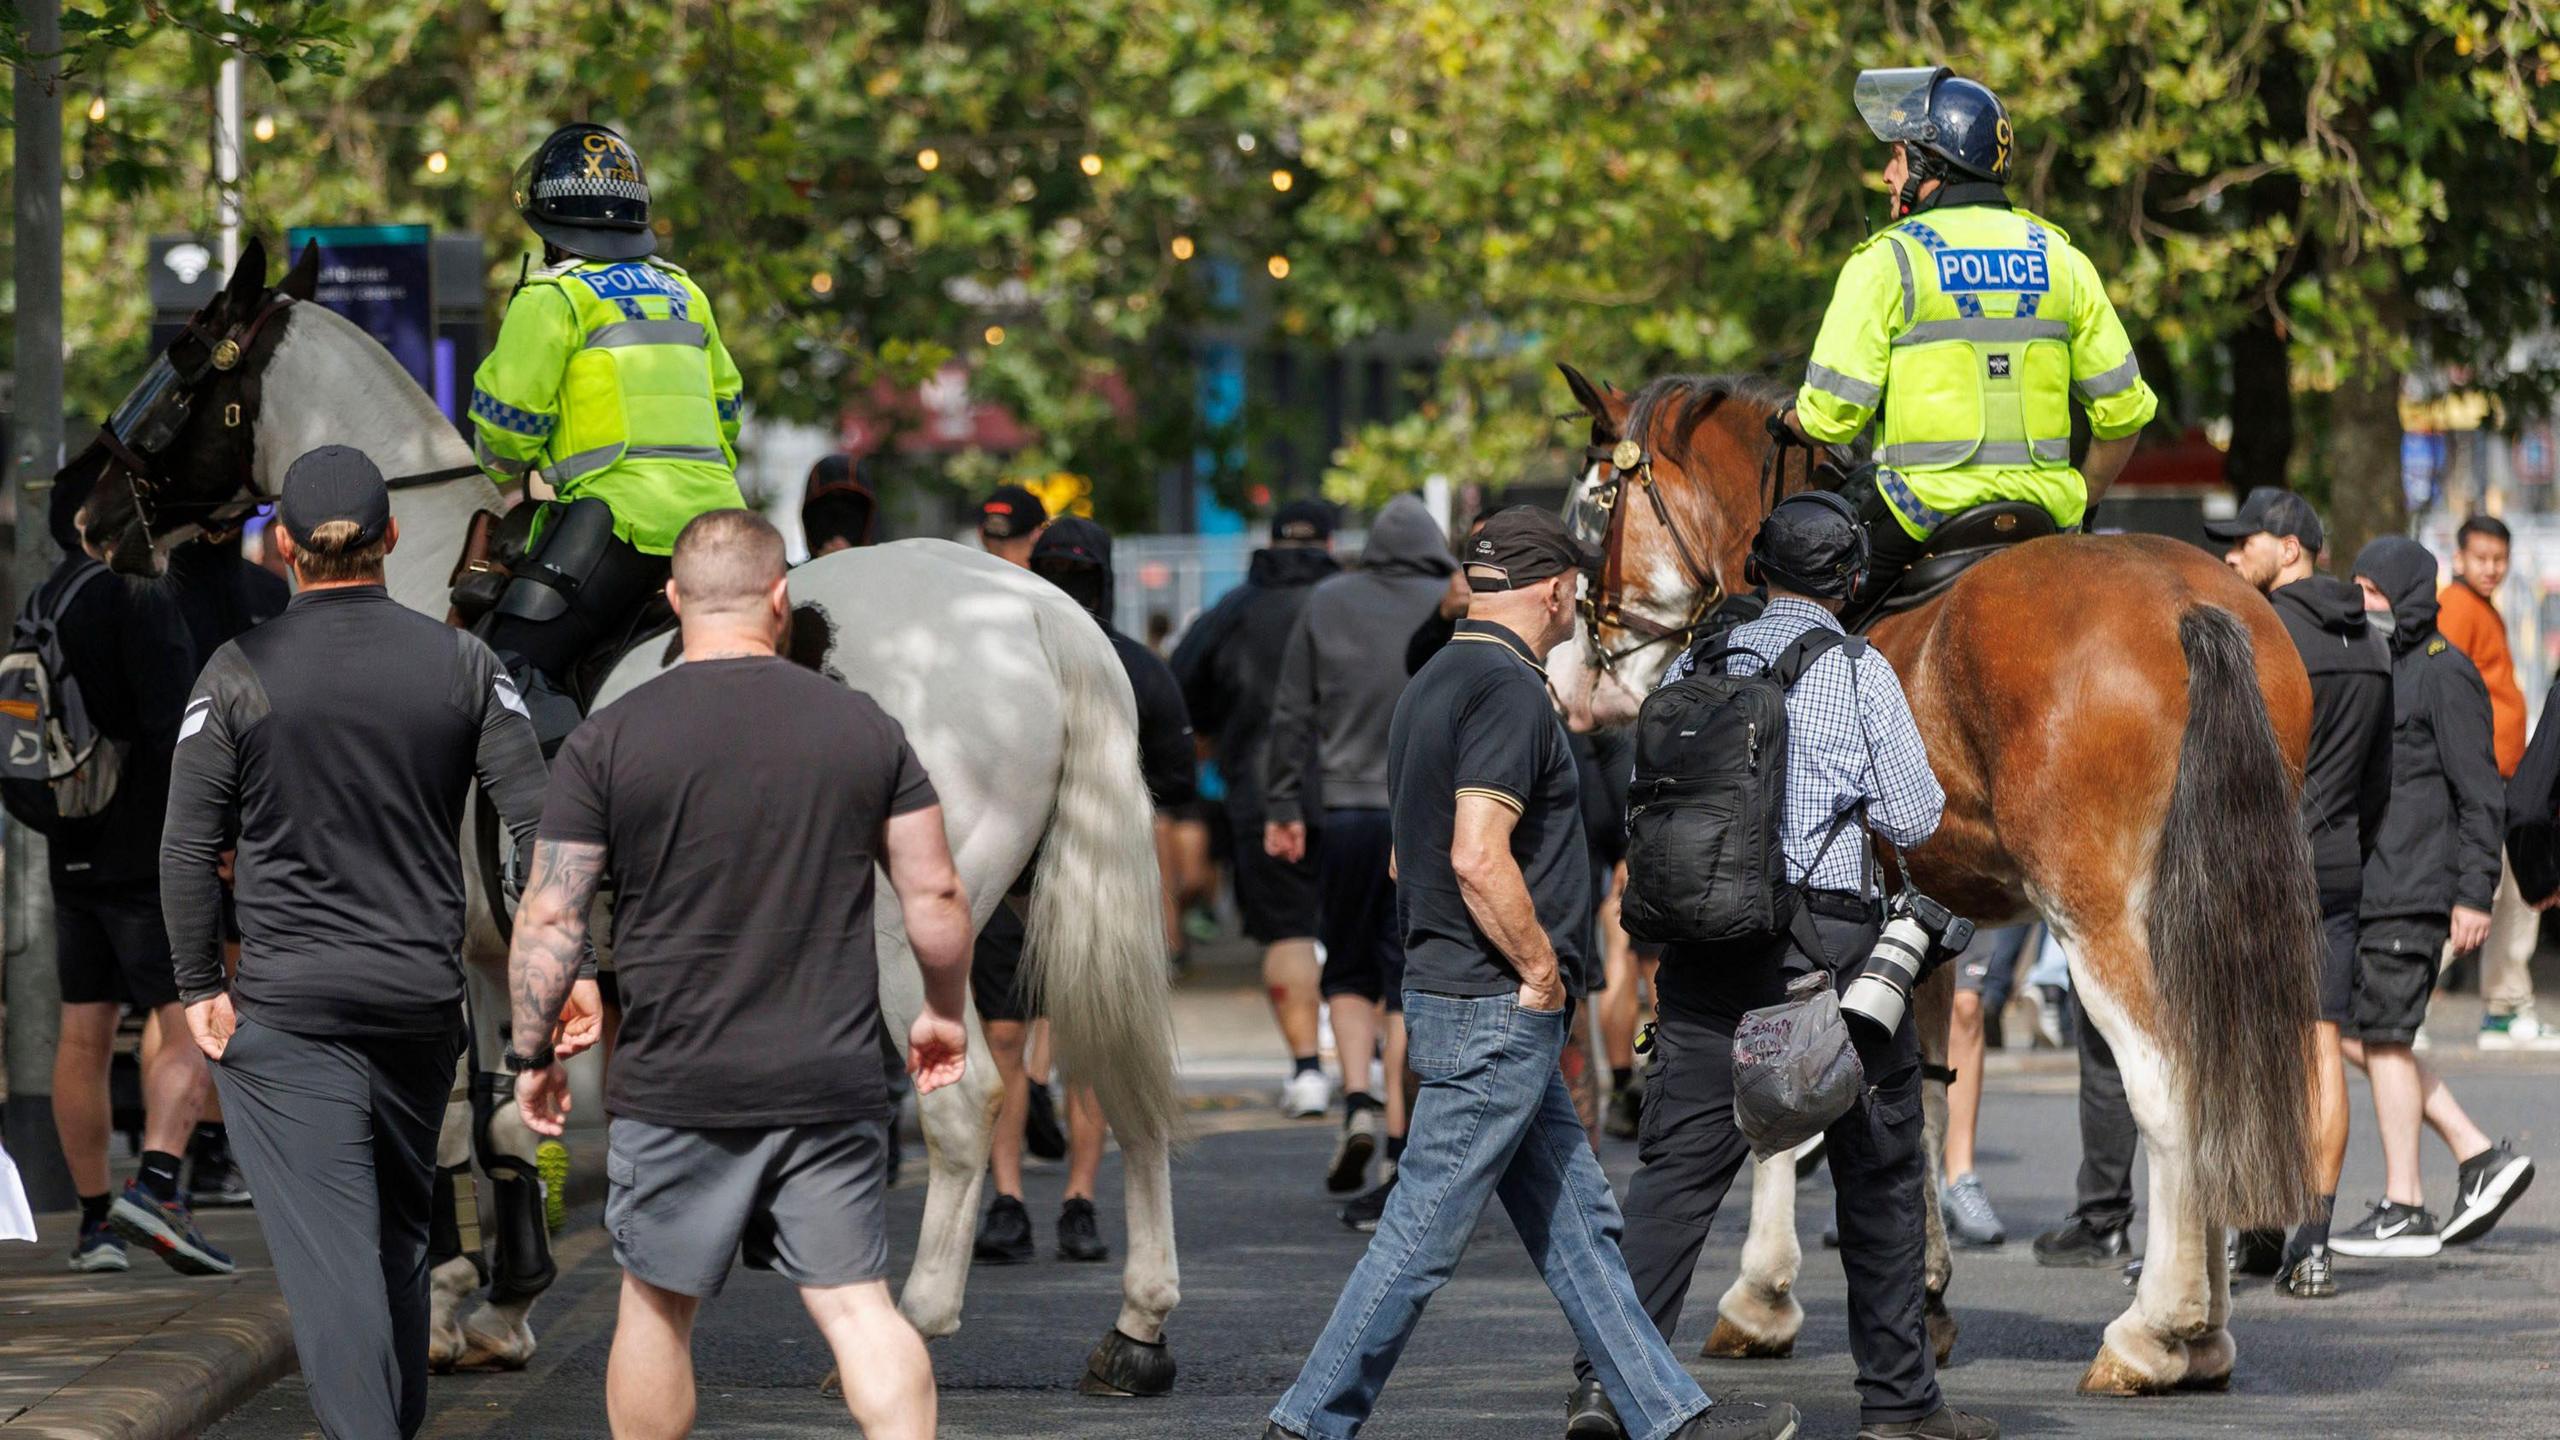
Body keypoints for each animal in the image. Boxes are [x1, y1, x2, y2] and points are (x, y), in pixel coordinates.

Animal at [85, 238, 1182, 1393]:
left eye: (180, 366)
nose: (88, 511)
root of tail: (1037, 613)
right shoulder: (494, 945)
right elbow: (506, 1121)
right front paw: (505, 1300)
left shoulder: (428, 937)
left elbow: (446, 1121)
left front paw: (446, 1304)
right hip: (1061, 896)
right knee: (1131, 1087)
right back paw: (1138, 1327)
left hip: (905, 929)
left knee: (965, 1105)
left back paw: (914, 1326)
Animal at [1546, 366, 2334, 1393]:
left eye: (1597, 502)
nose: (1581, 670)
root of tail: (2189, 606)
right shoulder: (1920, 920)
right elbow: (1912, 1092)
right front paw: (1922, 1292)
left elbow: (1786, 1101)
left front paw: (1762, 1294)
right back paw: (2205, 1331)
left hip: (2099, 920)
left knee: (2167, 1085)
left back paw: (2157, 1331)